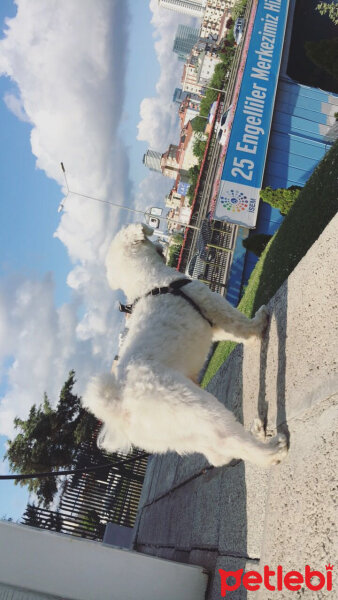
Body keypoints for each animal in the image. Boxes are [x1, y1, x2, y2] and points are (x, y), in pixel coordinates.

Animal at [82, 223, 288, 466]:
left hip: (184, 434)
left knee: (219, 455)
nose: (162, 245)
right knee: (230, 438)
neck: (149, 281)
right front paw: (259, 324)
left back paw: (258, 432)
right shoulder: (213, 305)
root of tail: (120, 408)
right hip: (195, 407)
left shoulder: (213, 322)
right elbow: (241, 326)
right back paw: (273, 450)